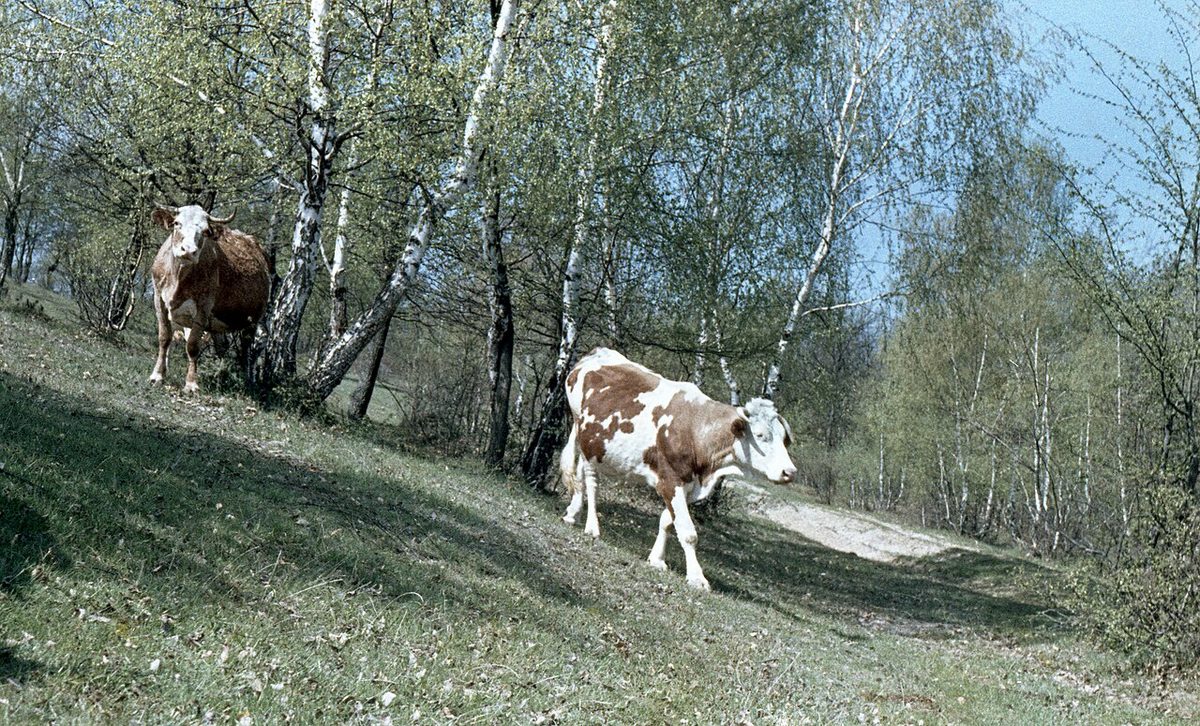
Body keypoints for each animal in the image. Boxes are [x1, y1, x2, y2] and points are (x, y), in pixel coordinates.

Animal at [147, 204, 269, 393]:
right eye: (177, 223)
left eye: (205, 231)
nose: (188, 250)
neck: (178, 279)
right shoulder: (159, 298)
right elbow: (164, 338)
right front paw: (157, 375)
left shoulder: (203, 307)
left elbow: (192, 345)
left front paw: (191, 384)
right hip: (217, 324)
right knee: (222, 347)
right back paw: (221, 376)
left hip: (253, 320)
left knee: (248, 350)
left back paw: (246, 380)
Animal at [559, 347, 797, 590]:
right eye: (760, 435)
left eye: (784, 439)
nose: (790, 472)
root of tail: (598, 352)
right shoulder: (669, 480)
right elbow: (687, 531)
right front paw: (697, 577)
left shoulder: (689, 486)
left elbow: (667, 521)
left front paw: (656, 559)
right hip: (585, 437)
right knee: (591, 482)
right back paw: (592, 527)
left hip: (589, 441)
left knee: (580, 475)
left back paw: (572, 514)